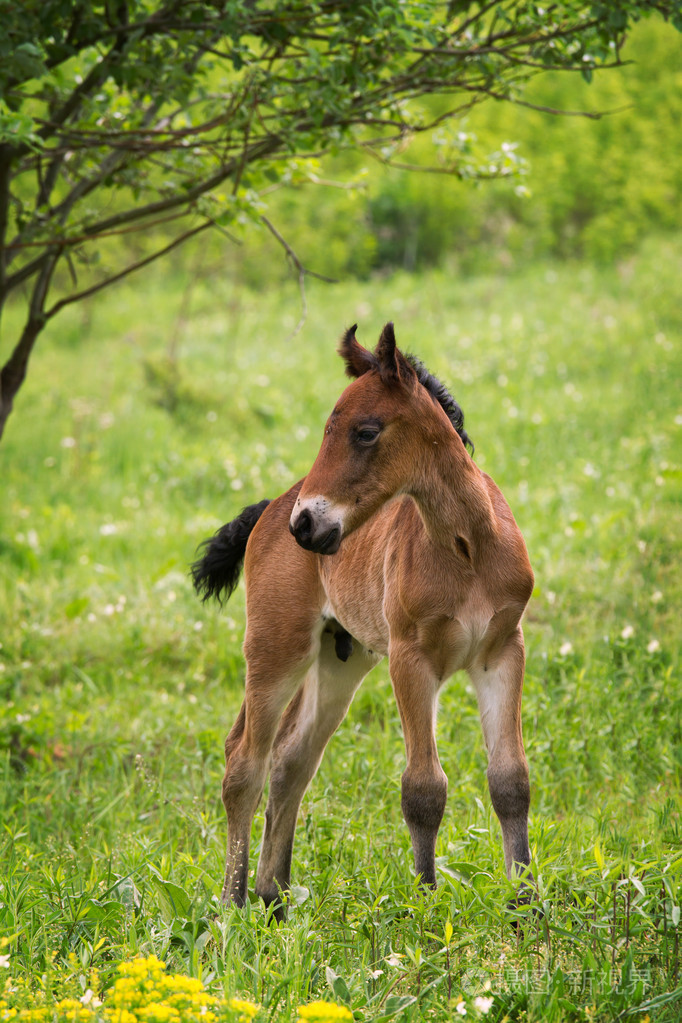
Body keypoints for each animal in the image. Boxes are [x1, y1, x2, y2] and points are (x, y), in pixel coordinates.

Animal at [193, 322, 534, 919]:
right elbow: (423, 789)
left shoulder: (501, 651)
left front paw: (527, 909)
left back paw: (273, 901)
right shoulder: (410, 658)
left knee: (291, 762)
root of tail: (270, 507)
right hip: (276, 648)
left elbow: (510, 779)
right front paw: (426, 909)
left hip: (339, 662)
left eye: (366, 431)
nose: (306, 524)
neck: (468, 545)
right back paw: (234, 907)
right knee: (244, 763)